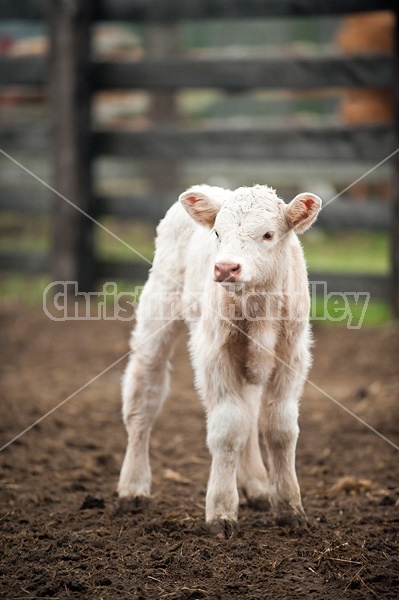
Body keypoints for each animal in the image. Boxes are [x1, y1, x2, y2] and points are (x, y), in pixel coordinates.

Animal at [116, 185, 322, 536]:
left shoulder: (292, 357)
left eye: (268, 234)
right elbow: (227, 429)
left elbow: (279, 428)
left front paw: (289, 507)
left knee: (250, 414)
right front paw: (222, 511)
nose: (225, 268)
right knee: (143, 398)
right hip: (157, 317)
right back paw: (133, 487)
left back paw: (257, 486)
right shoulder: (214, 356)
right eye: (217, 233)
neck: (257, 311)